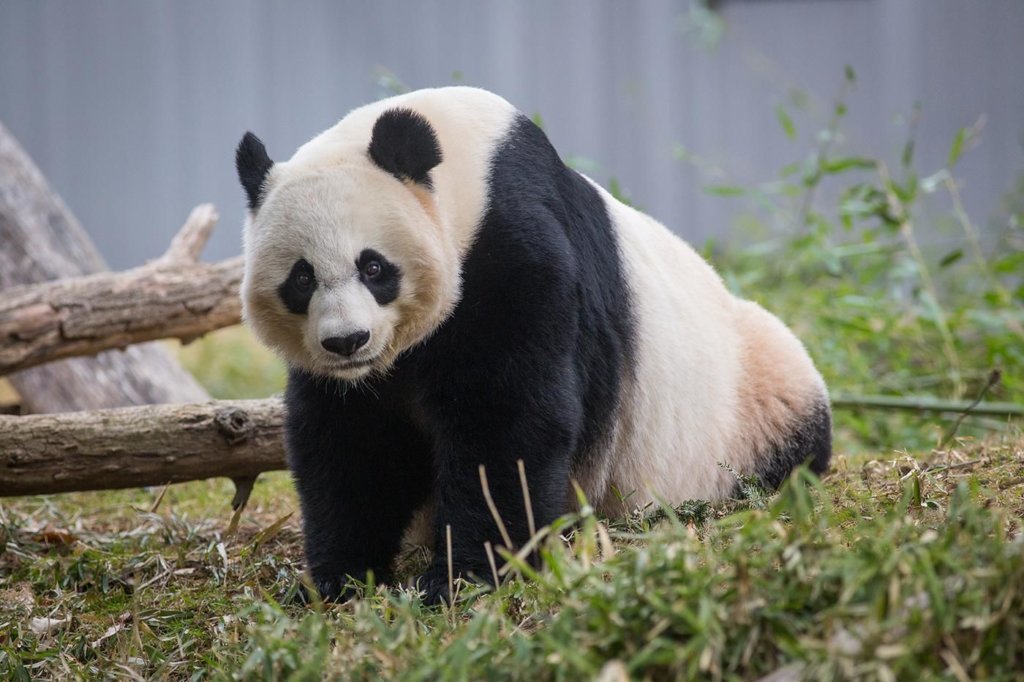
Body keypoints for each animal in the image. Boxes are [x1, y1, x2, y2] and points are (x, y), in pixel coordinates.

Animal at [235, 86, 831, 603]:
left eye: (374, 267)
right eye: (302, 279)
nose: (347, 342)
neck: (467, 170)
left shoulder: (512, 248)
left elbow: (507, 420)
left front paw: (464, 576)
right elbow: (354, 444)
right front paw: (338, 580)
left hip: (746, 395)